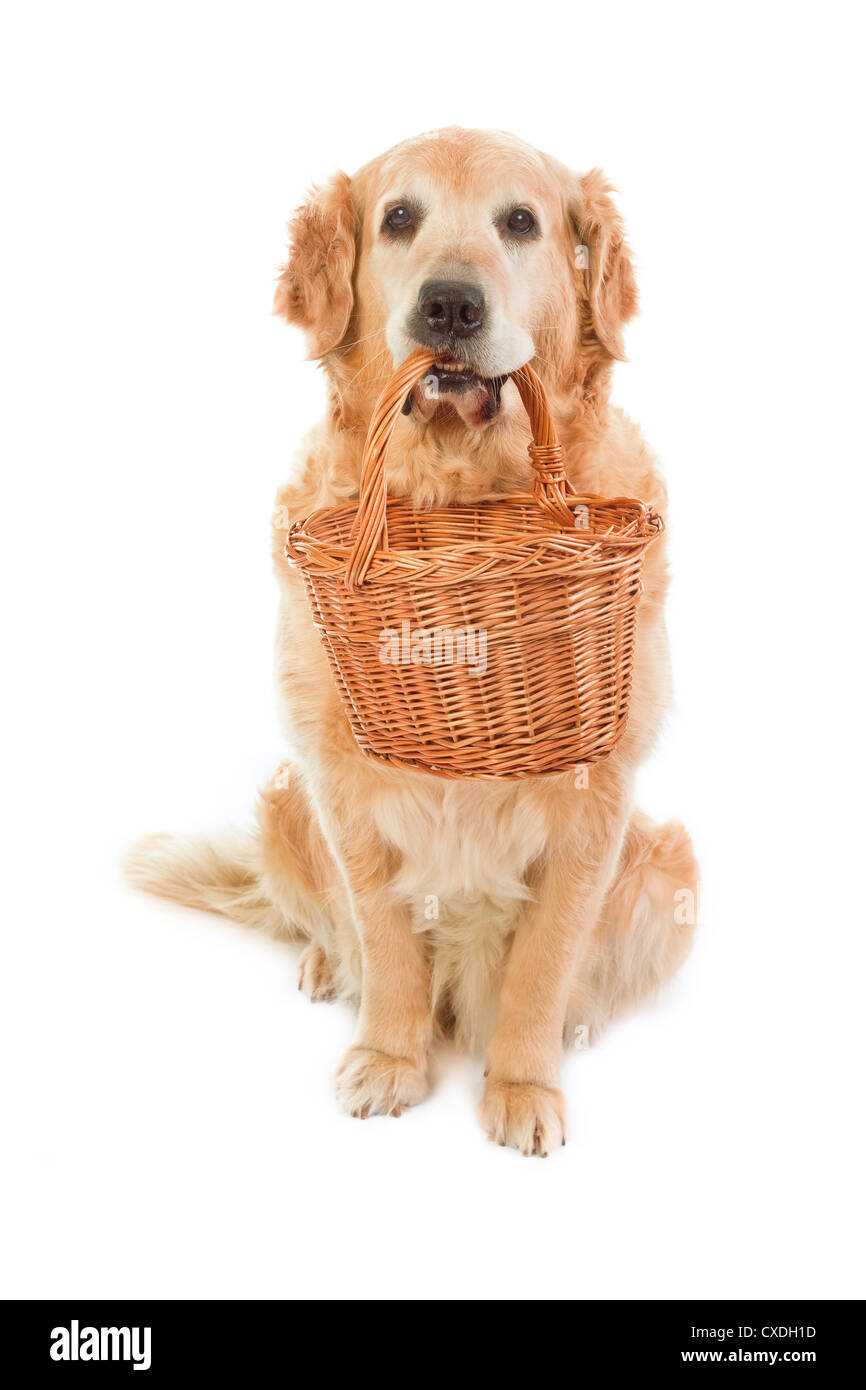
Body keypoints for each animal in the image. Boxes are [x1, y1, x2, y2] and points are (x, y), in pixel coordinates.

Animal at [127, 127, 697, 1150]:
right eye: (399, 217)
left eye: (522, 222)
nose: (451, 304)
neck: (458, 488)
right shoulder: (339, 778)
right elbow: (384, 940)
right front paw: (389, 1059)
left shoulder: (601, 794)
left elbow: (546, 959)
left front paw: (523, 1086)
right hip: (284, 803)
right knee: (328, 926)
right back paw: (326, 970)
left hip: (671, 865)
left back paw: (574, 1026)